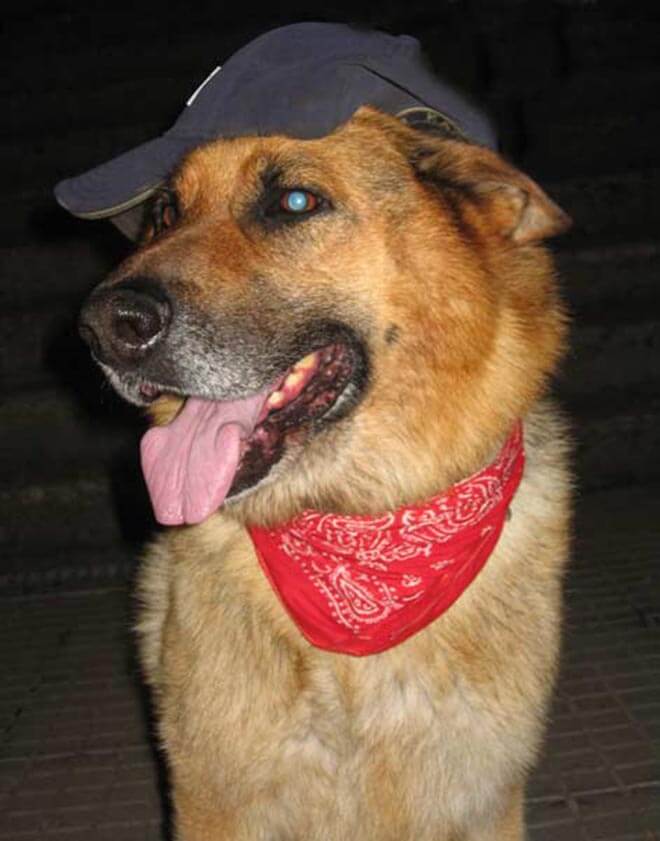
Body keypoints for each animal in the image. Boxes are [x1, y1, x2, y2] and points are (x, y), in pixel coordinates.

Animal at [78, 106, 572, 840]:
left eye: (295, 202)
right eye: (166, 212)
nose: (103, 328)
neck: (358, 527)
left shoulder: (486, 804)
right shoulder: (212, 803)